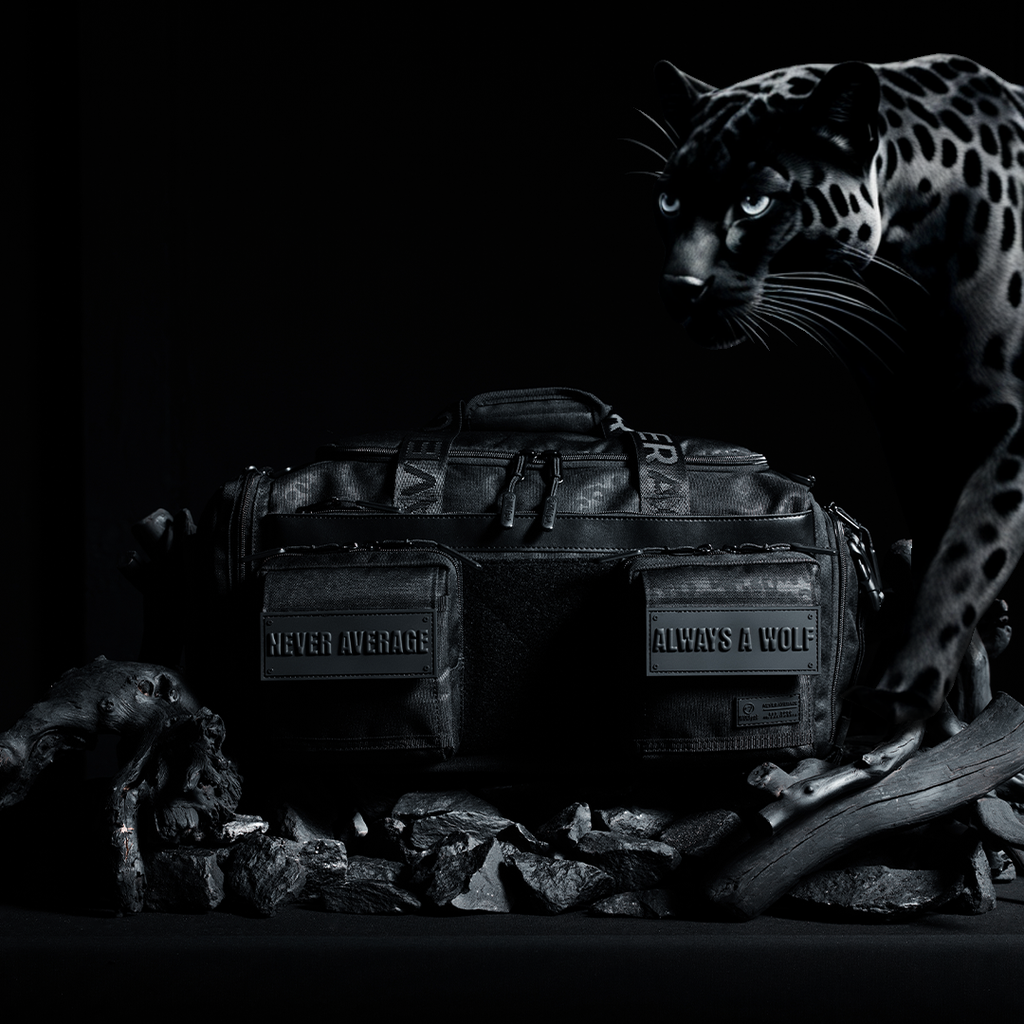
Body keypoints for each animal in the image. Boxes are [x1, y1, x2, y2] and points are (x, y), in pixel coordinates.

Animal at [635, 54, 1024, 726]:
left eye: (755, 202)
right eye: (669, 199)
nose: (679, 286)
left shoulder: (1009, 422)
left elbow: (968, 547)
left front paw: (905, 686)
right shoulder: (906, 418)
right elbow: (935, 524)